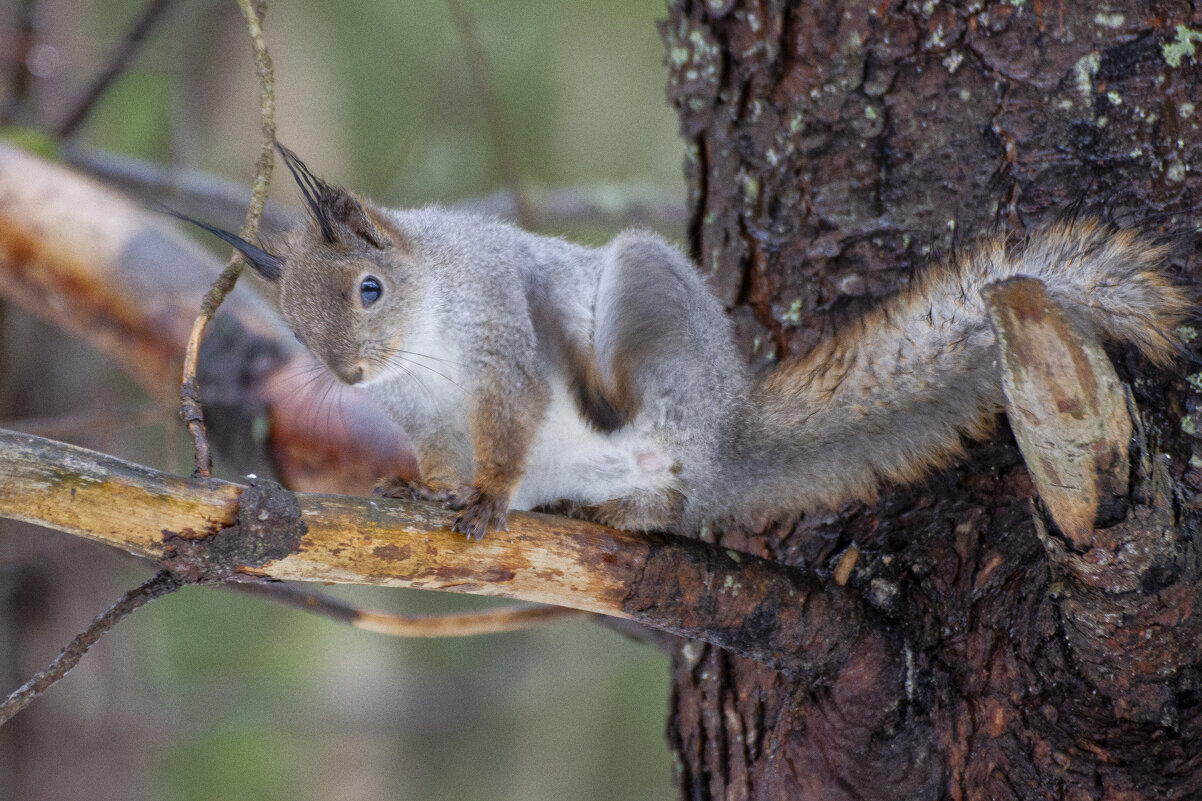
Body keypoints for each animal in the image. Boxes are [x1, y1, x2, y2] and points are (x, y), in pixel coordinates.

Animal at [177, 146, 1192, 538]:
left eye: (370, 288)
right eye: (296, 325)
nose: (349, 372)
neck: (422, 341)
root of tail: (723, 439)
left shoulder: (503, 341)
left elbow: (508, 423)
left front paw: (483, 499)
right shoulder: (420, 412)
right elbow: (433, 455)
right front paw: (419, 490)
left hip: (649, 339)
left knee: (665, 484)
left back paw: (633, 501)